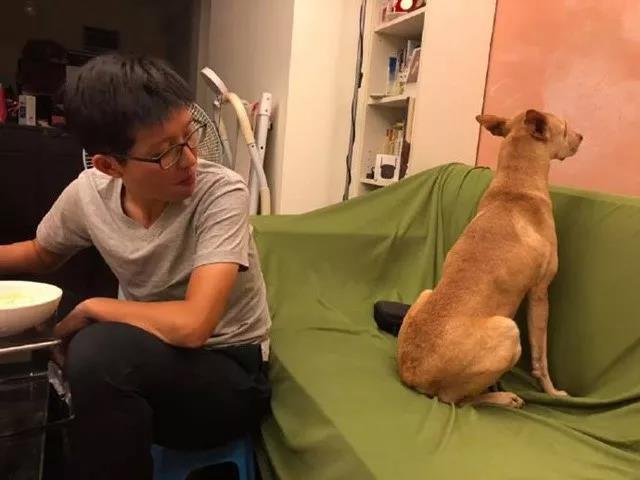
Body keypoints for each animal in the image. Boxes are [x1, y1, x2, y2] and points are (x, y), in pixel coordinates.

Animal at [396, 109, 583, 408]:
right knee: (458, 400)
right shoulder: (540, 293)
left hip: (425, 294)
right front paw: (553, 392)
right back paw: (502, 397)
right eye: (565, 129)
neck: (515, 187)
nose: (581, 137)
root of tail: (413, 377)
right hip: (509, 331)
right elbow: (541, 357)